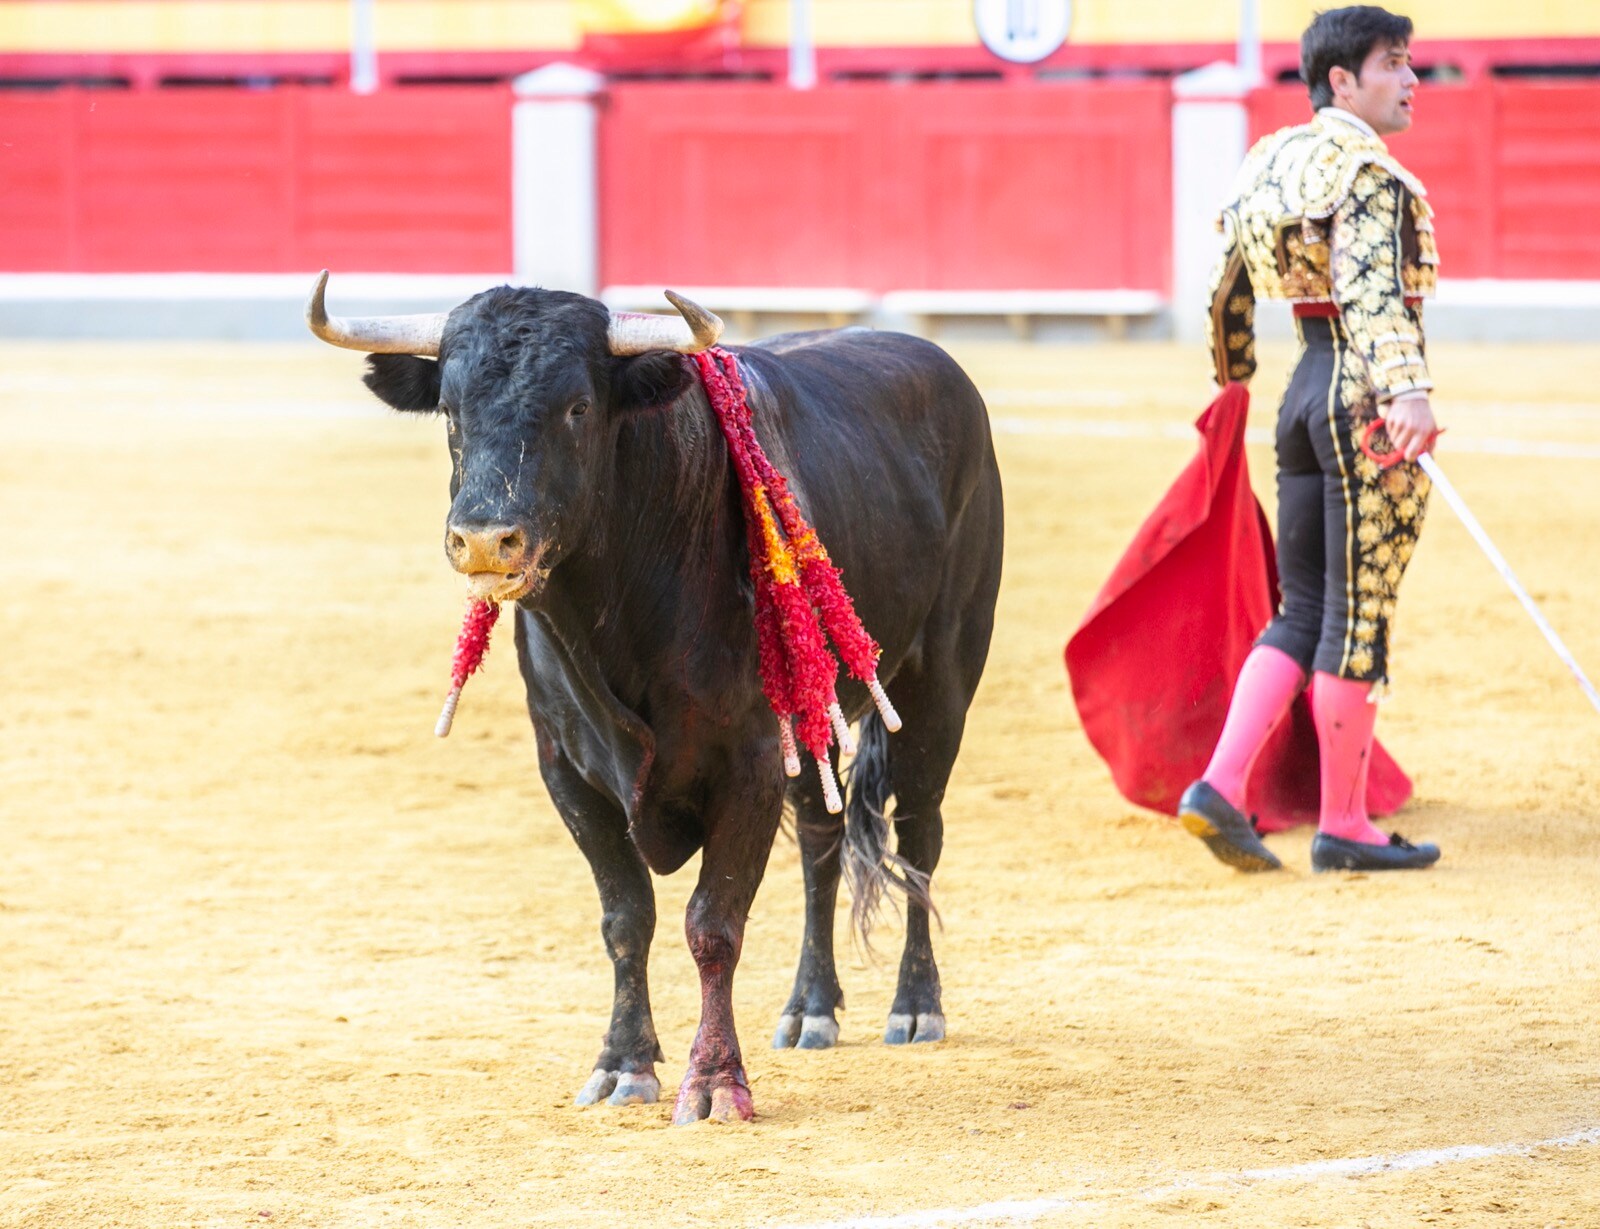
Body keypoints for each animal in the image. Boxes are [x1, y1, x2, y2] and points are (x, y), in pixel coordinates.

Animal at [326, 288, 998, 1126]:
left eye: (578, 407)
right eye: (449, 408)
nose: (484, 541)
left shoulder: (747, 764)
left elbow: (713, 923)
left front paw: (714, 1082)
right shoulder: (567, 767)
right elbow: (626, 917)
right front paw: (621, 1063)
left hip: (940, 683)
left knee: (919, 831)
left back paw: (915, 1006)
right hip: (810, 716)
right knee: (822, 838)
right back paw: (810, 1008)